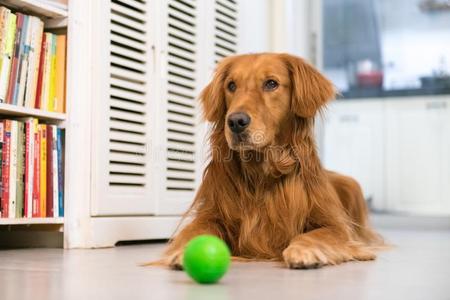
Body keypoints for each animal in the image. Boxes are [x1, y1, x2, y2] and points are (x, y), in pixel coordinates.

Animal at [160, 52, 382, 270]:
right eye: (231, 86)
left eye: (271, 83)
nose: (236, 122)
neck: (261, 174)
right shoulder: (211, 214)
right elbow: (195, 230)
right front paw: (183, 251)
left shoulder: (335, 224)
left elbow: (318, 233)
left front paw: (303, 250)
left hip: (352, 185)